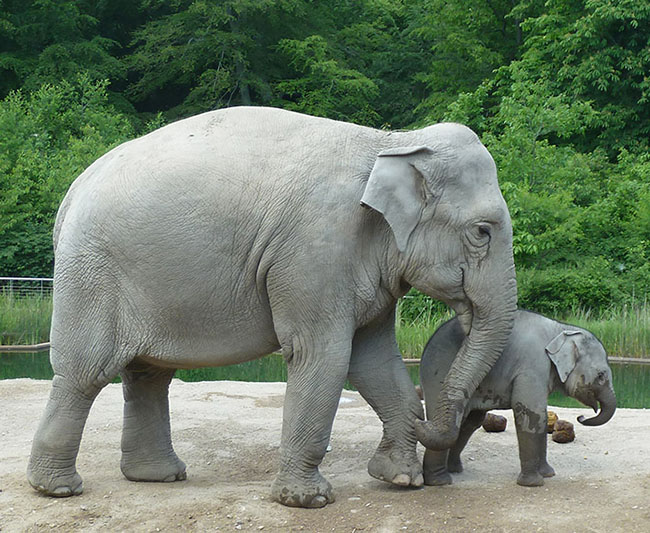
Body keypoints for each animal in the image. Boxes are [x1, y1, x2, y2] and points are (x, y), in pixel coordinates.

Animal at [27, 105, 516, 508]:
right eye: (482, 232)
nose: (426, 419)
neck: (391, 142)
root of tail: (72, 193)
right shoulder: (314, 249)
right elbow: (323, 355)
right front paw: (308, 501)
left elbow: (373, 359)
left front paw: (399, 480)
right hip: (93, 273)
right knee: (86, 372)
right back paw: (58, 488)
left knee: (148, 374)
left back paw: (158, 477)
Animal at [412, 308, 616, 486]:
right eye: (601, 375)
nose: (581, 417)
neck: (561, 329)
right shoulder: (531, 367)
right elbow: (530, 412)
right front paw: (534, 483)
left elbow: (541, 415)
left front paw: (548, 474)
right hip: (438, 374)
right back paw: (440, 481)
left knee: (469, 421)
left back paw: (454, 470)